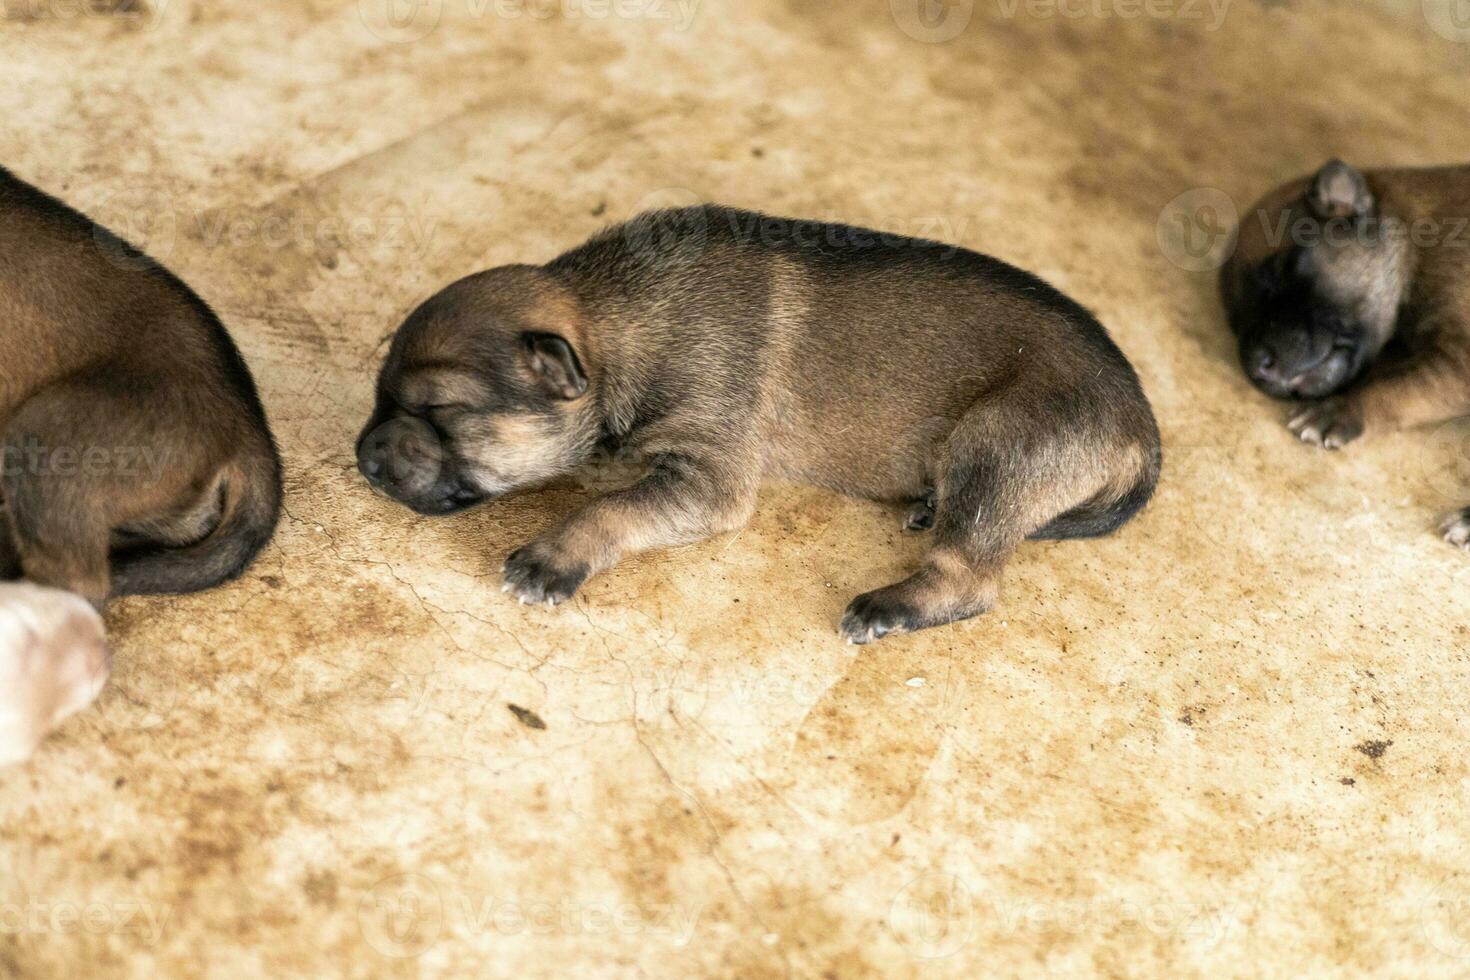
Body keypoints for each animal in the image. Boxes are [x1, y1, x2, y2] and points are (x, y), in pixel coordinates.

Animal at [355, 207, 1158, 643]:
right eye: (379, 395)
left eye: (442, 410)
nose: (364, 455)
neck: (618, 320)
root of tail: (1140, 425)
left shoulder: (709, 476)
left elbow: (611, 506)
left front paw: (555, 556)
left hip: (997, 447)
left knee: (970, 578)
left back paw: (888, 606)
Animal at [1223, 159, 1470, 543]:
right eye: (1235, 321)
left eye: (1286, 268)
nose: (1255, 368)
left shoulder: (1458, 359)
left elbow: (1397, 385)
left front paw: (1336, 410)